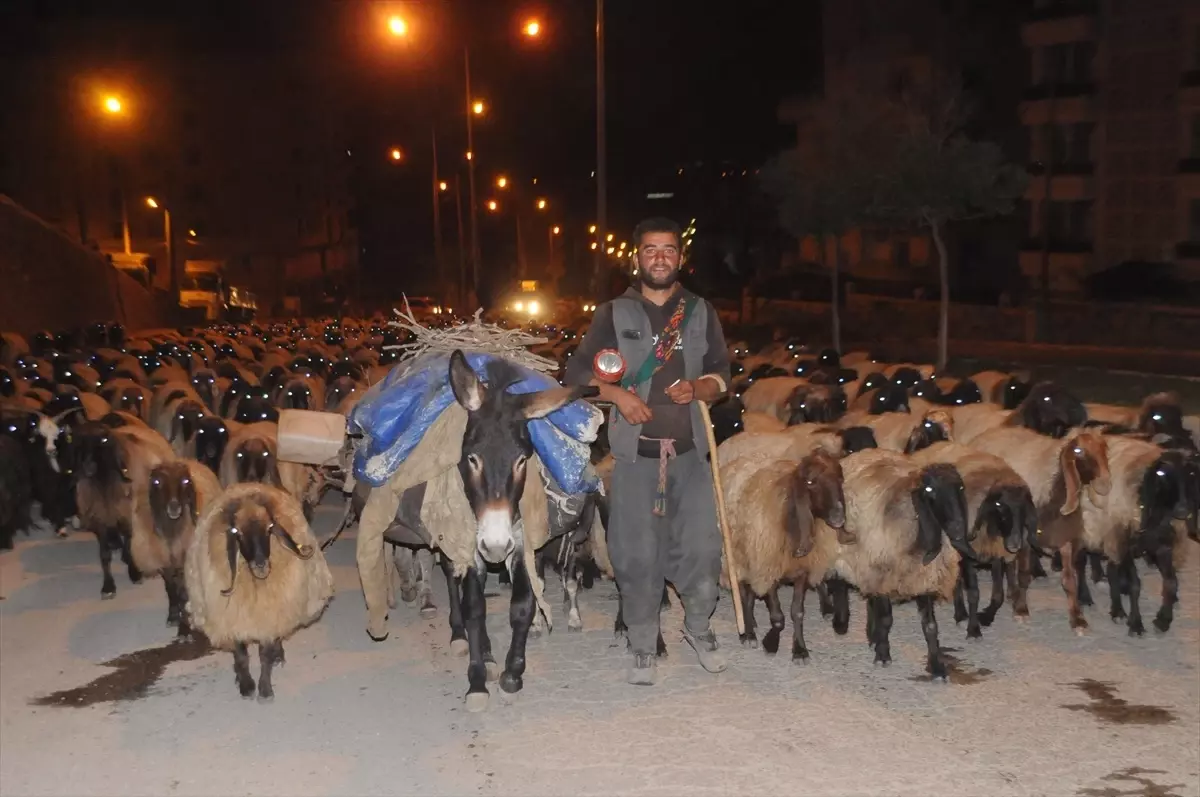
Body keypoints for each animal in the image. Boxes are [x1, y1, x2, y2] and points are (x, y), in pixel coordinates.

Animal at [912, 439, 1036, 638]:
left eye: (1025, 506)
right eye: (999, 505)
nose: (1015, 542)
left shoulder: (996, 554)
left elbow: (998, 594)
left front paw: (987, 616)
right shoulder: (969, 557)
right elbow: (973, 594)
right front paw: (973, 628)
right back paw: (960, 613)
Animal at [969, 427, 1108, 633]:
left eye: (1105, 448)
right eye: (1079, 451)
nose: (1105, 484)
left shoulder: (1064, 540)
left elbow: (1069, 581)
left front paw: (1078, 619)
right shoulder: (1024, 539)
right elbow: (1023, 575)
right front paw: (1021, 609)